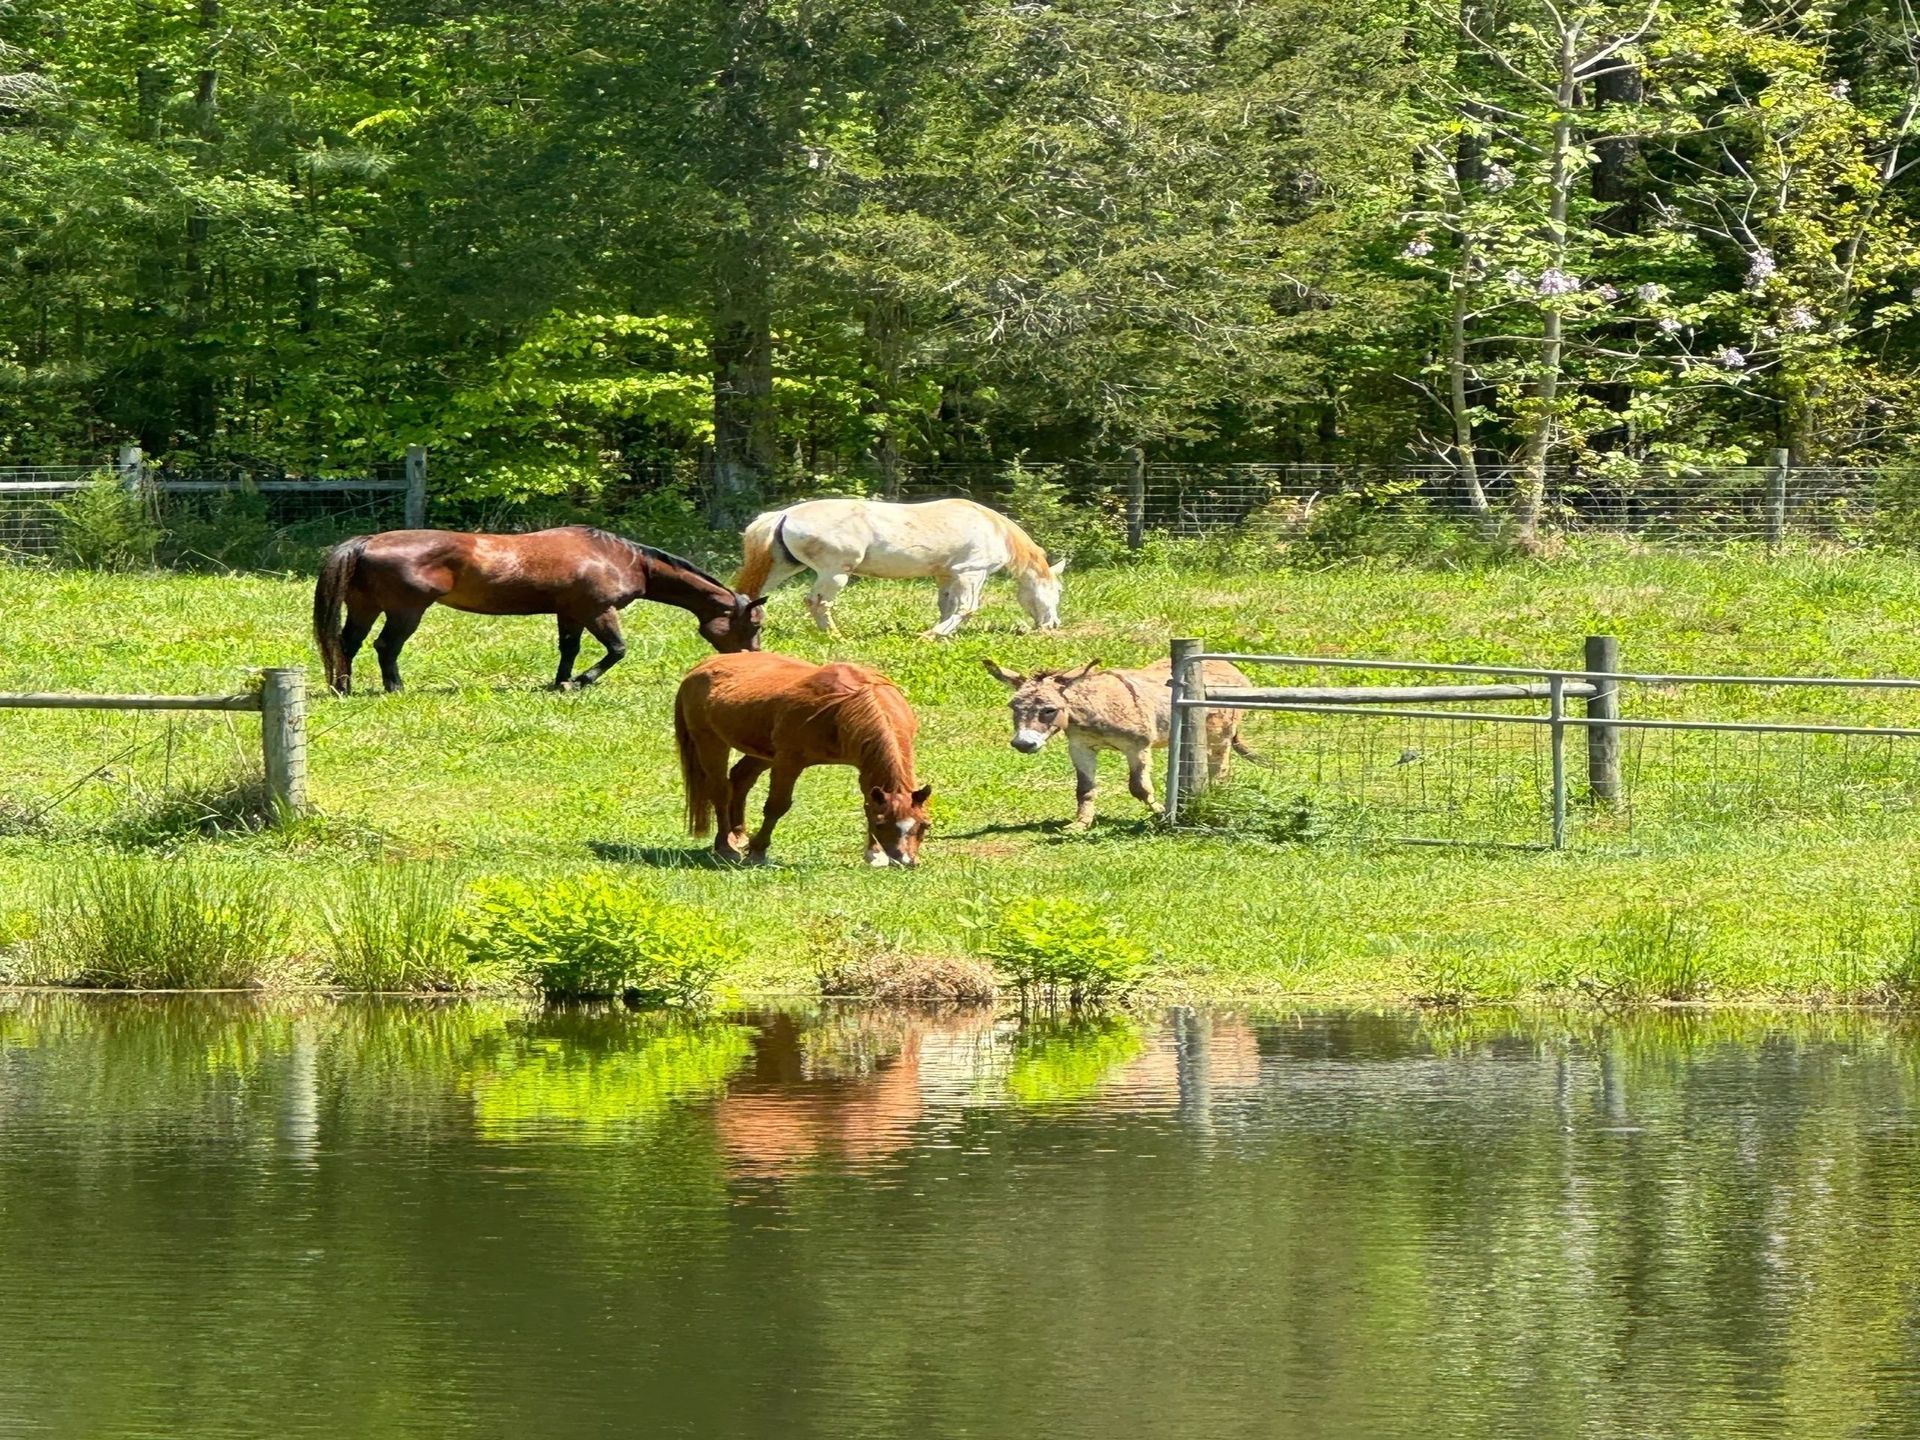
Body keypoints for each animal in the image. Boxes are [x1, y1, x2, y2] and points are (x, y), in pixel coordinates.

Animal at [312, 526, 766, 695]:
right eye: (754, 624)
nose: (754, 659)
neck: (622, 558)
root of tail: (368, 541)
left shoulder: (571, 613)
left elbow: (568, 649)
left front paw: (561, 682)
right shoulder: (598, 611)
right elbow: (616, 650)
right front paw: (581, 682)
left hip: (365, 607)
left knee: (347, 645)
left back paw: (343, 688)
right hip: (406, 612)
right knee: (385, 647)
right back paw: (395, 688)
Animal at [674, 652, 933, 867]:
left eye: (924, 825)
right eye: (882, 824)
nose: (906, 861)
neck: (847, 705)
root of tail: (701, 667)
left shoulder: (864, 765)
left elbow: (869, 803)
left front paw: (874, 854)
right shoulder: (788, 762)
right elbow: (776, 806)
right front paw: (757, 852)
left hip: (762, 753)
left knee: (740, 779)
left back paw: (738, 835)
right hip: (711, 742)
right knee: (720, 790)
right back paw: (725, 846)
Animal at [733, 497, 1067, 638]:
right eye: (1059, 591)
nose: (1052, 624)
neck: (991, 527)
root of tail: (785, 514)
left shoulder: (946, 575)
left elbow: (947, 606)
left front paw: (942, 634)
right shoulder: (971, 573)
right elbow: (966, 608)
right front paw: (932, 635)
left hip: (782, 567)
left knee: (754, 596)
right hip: (835, 573)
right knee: (818, 603)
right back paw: (835, 636)